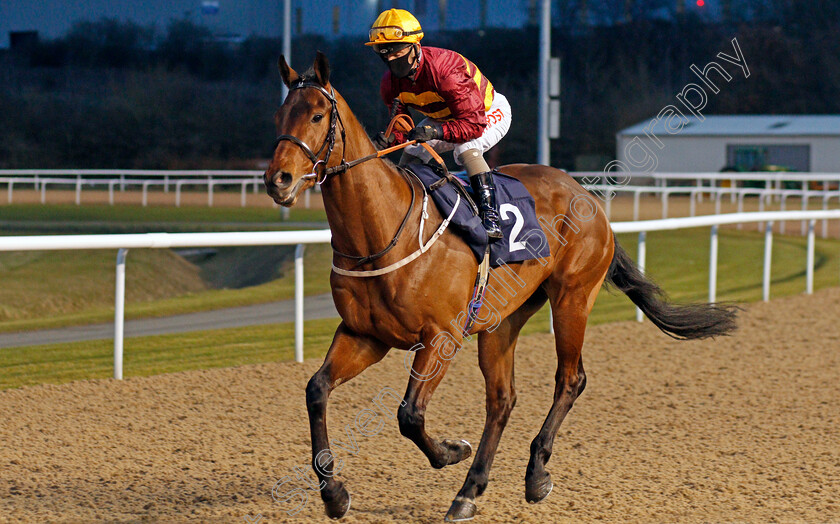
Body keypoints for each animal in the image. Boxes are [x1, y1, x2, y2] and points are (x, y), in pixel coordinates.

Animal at [264, 53, 736, 520]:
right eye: (279, 115)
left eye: (318, 115)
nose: (277, 180)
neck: (381, 231)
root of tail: (586, 194)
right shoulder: (365, 335)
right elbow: (317, 391)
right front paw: (333, 493)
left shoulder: (442, 337)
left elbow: (409, 415)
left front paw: (451, 450)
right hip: (500, 321)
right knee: (502, 399)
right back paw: (469, 491)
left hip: (572, 298)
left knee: (570, 379)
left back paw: (535, 474)